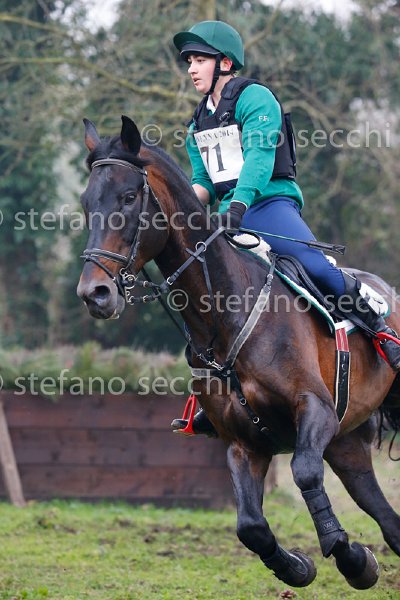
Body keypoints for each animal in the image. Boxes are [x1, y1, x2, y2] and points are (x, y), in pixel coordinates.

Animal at [77, 115, 400, 590]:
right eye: (87, 203)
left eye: (129, 197)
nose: (94, 294)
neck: (225, 316)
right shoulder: (243, 443)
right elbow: (250, 526)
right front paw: (303, 566)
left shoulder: (315, 409)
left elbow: (305, 472)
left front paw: (349, 555)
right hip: (348, 445)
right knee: (388, 519)